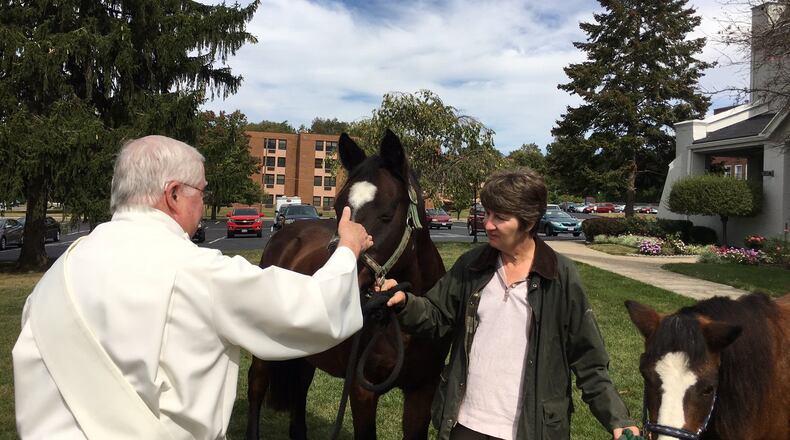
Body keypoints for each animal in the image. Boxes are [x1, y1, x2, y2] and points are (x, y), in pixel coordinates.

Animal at [246, 129, 450, 440]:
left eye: (387, 214)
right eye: (338, 206)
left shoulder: (423, 388)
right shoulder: (362, 389)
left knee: (300, 388)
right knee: (256, 384)